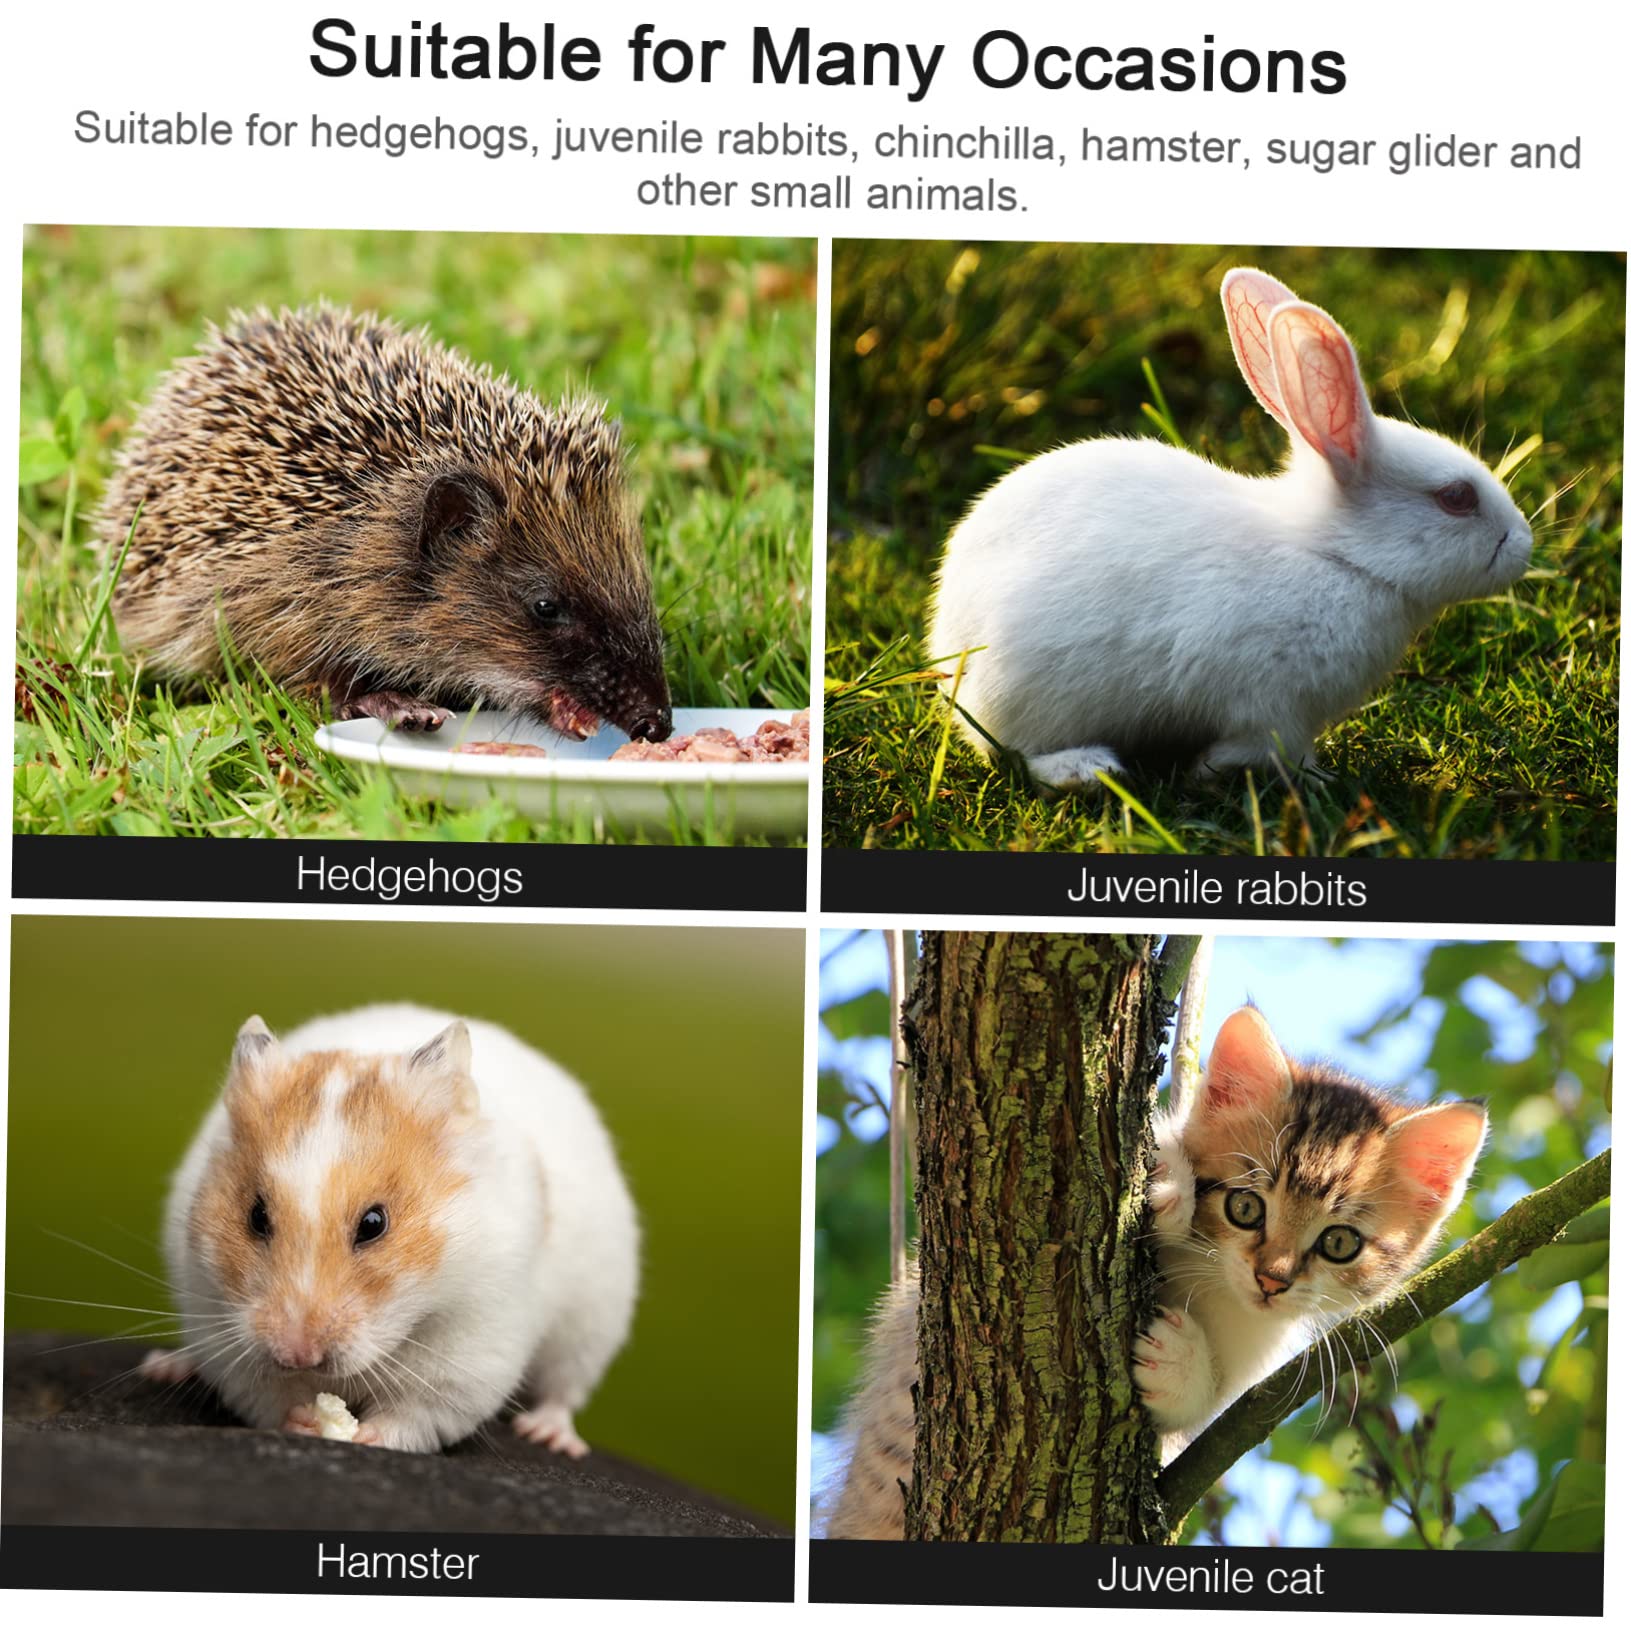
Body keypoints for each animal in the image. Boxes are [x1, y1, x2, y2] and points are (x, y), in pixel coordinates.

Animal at [139, 1003, 638, 1455]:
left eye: (374, 1224)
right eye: (256, 1216)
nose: (297, 1355)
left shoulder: (470, 1350)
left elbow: (416, 1414)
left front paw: (364, 1436)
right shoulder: (219, 1322)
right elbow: (265, 1396)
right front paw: (305, 1420)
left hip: (592, 1324)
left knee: (563, 1390)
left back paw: (550, 1436)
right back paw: (165, 1366)